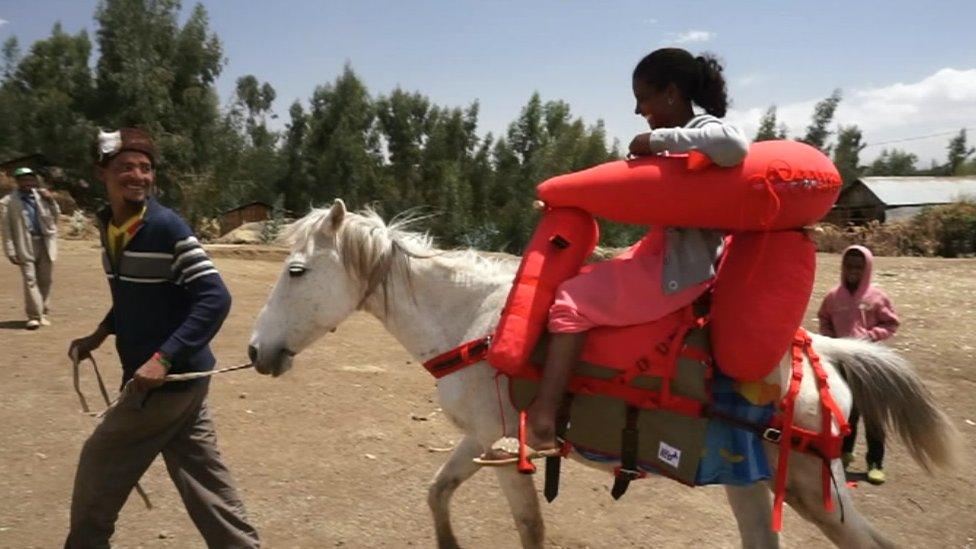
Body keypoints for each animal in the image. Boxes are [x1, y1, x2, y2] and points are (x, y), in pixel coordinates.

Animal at [248, 201, 956, 548]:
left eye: (296, 271)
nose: (255, 352)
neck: (473, 320)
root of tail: (823, 353)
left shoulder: (496, 445)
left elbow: (505, 519)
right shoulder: (487, 444)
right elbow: (451, 498)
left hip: (811, 490)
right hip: (756, 488)